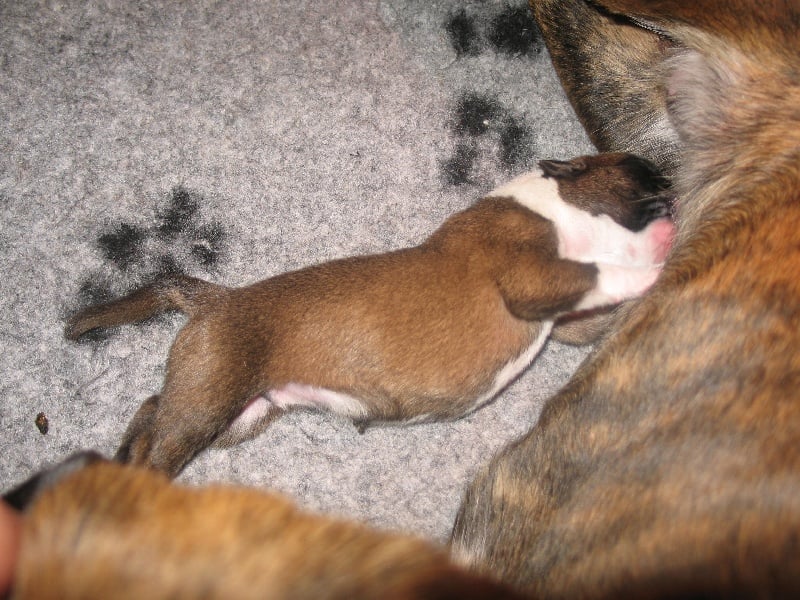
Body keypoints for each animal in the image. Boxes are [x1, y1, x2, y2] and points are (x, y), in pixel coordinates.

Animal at [66, 152, 673, 477]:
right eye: (640, 170)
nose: (673, 186)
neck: (556, 206)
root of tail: (216, 298)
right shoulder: (530, 277)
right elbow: (602, 271)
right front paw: (661, 257)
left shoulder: (567, 322)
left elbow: (596, 304)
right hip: (210, 401)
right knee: (159, 442)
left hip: (240, 414)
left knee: (152, 407)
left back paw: (117, 456)